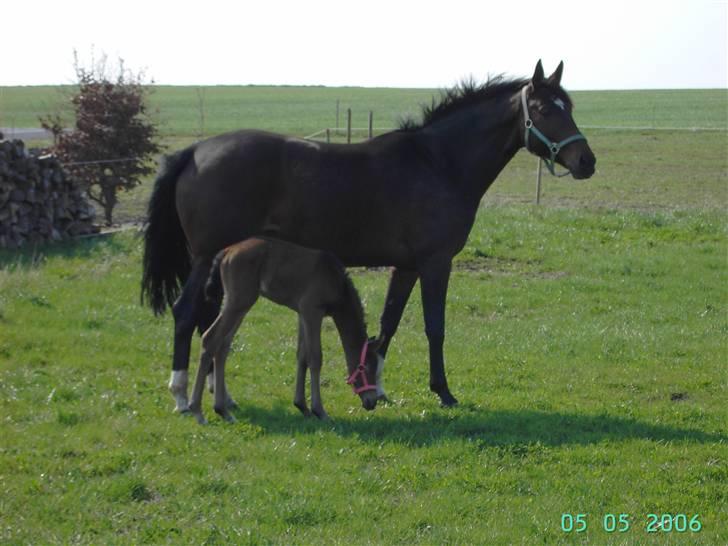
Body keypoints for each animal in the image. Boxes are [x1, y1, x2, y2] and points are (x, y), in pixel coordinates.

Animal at [186, 236, 382, 422]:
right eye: (366, 367)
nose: (372, 402)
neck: (336, 281)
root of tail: (226, 251)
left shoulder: (302, 313)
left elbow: (302, 355)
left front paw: (302, 406)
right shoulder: (312, 311)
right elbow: (315, 357)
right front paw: (319, 411)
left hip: (239, 304)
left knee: (223, 344)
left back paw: (223, 411)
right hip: (239, 301)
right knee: (210, 338)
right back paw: (198, 410)